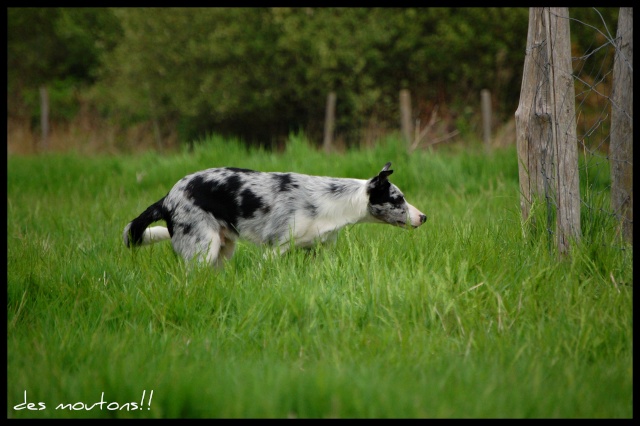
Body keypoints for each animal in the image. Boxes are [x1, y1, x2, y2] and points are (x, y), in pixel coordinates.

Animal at [123, 162, 428, 266]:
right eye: (398, 199)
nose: (423, 217)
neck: (332, 201)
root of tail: (167, 197)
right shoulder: (275, 249)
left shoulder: (318, 250)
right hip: (203, 248)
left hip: (222, 249)